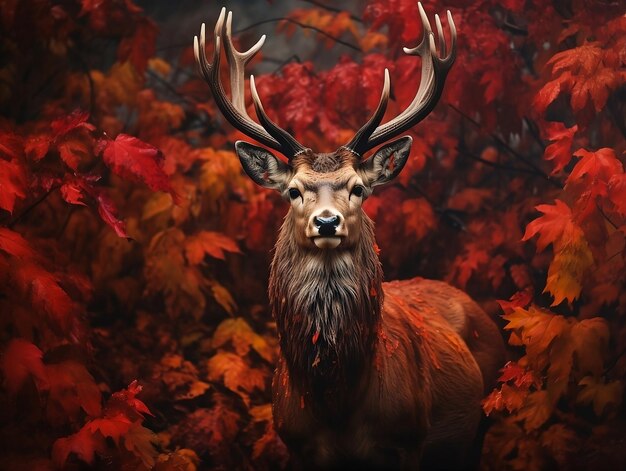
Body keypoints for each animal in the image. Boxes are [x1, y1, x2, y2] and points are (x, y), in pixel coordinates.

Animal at [193, 4, 504, 471]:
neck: (337, 403)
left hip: (482, 423)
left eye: (358, 188)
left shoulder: (409, 439)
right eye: (293, 190)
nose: (326, 222)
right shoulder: (296, 442)